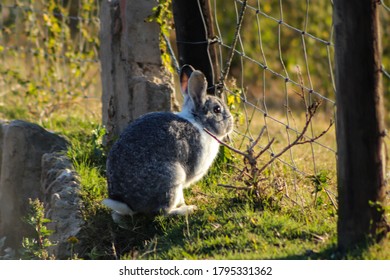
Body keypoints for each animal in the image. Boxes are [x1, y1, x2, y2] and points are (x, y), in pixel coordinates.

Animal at [102, 65, 233, 217]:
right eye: (217, 109)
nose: (231, 124)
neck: (199, 122)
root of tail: (128, 204)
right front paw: (185, 205)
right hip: (173, 177)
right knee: (162, 212)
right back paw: (186, 210)